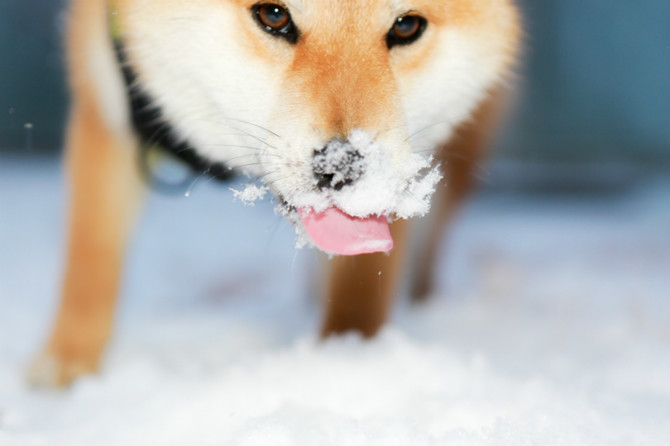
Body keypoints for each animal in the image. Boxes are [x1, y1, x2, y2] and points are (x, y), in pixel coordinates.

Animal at [28, 0, 524, 386]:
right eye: (273, 15)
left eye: (406, 26)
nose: (344, 163)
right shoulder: (106, 108)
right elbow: (91, 264)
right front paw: (67, 370)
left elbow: (361, 287)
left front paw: (349, 359)